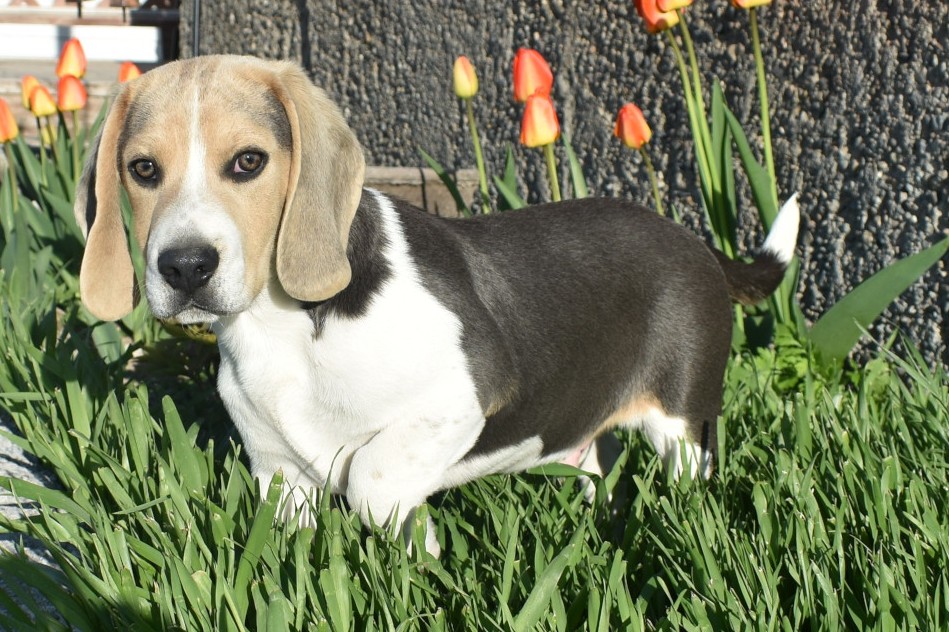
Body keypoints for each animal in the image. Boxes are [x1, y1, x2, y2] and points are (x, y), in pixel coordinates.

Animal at [76, 56, 800, 556]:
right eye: (142, 170)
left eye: (248, 162)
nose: (185, 266)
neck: (284, 326)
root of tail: (695, 243)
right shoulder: (281, 475)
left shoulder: (466, 393)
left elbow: (371, 479)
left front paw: (417, 561)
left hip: (684, 423)